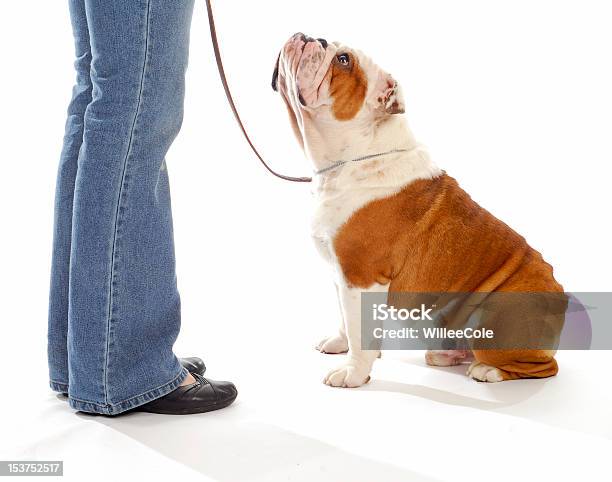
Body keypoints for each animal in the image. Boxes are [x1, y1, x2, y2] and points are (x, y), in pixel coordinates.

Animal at [272, 33, 564, 388]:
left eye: (344, 60)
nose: (311, 37)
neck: (354, 156)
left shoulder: (361, 277)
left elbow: (359, 331)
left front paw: (353, 372)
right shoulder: (341, 275)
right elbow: (345, 319)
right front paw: (339, 344)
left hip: (494, 316)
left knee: (543, 367)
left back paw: (488, 370)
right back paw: (450, 355)